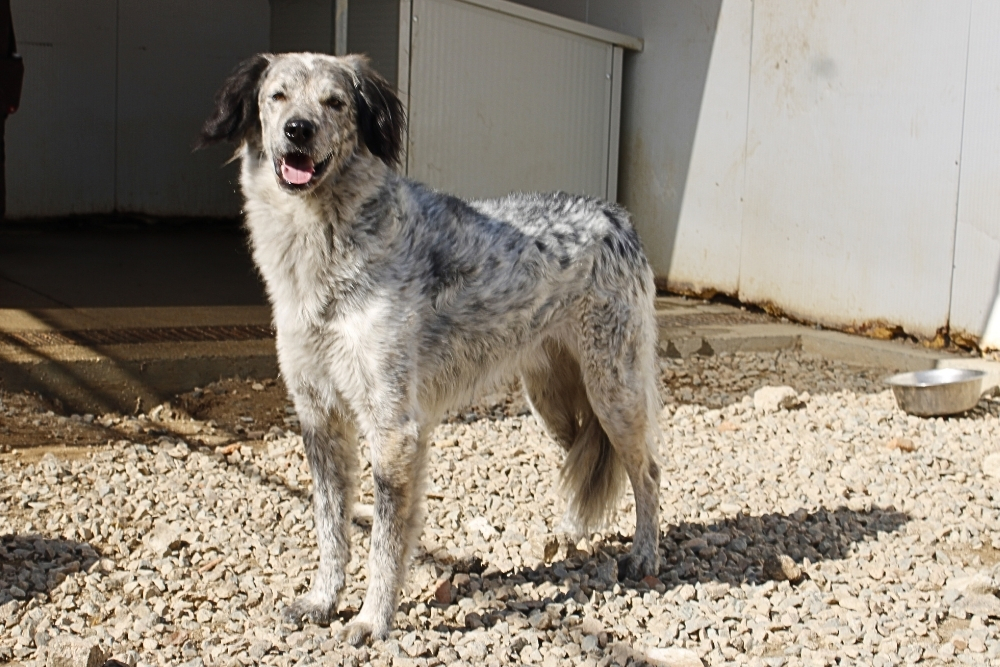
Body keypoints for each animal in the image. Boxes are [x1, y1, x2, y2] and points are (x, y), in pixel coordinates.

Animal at [199, 52, 663, 645]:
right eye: (276, 96)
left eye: (335, 103)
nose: (297, 131)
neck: (325, 247)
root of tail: (617, 215)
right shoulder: (319, 417)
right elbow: (331, 528)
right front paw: (323, 602)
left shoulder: (395, 427)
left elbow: (384, 539)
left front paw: (372, 619)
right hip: (553, 401)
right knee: (584, 454)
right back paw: (570, 533)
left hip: (613, 391)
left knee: (647, 472)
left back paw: (643, 555)